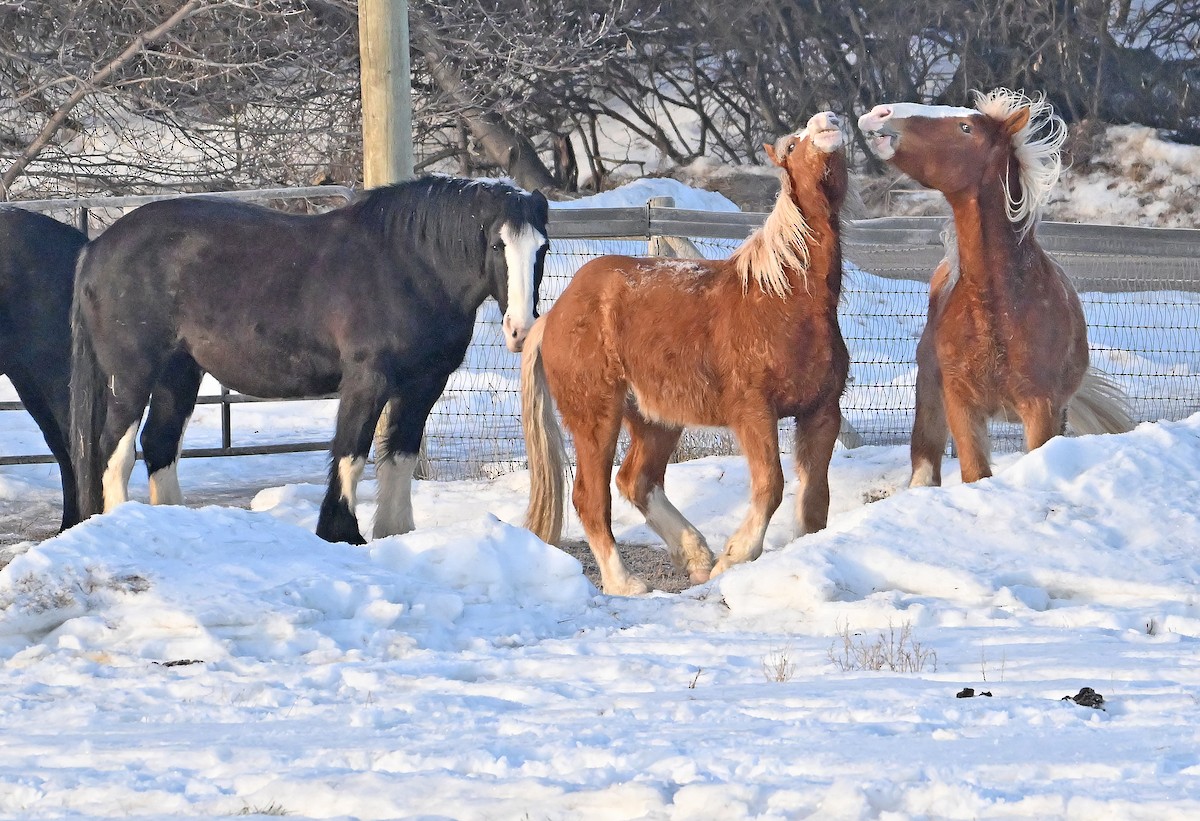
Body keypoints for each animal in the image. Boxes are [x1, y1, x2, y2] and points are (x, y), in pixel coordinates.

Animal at [71, 175, 549, 544]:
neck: (408, 268)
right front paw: (342, 533)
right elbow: (351, 453)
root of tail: (95, 249)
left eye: (542, 249)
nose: (521, 330)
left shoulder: (424, 384)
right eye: (496, 245)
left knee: (160, 443)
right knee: (116, 452)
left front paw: (395, 534)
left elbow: (400, 456)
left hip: (180, 372)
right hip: (131, 375)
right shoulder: (368, 379)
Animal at [521, 112, 850, 595]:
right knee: (591, 497)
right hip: (597, 416)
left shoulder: (822, 413)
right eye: (792, 145)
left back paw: (694, 556)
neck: (785, 298)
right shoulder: (754, 412)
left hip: (655, 418)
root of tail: (554, 315)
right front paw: (735, 558)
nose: (827, 121)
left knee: (636, 481)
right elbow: (770, 486)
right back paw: (626, 582)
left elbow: (815, 501)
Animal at [858, 89, 1132, 487]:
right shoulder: (961, 405)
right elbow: (975, 472)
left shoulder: (1041, 408)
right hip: (929, 395)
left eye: (966, 127)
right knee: (925, 461)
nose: (879, 114)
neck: (996, 307)